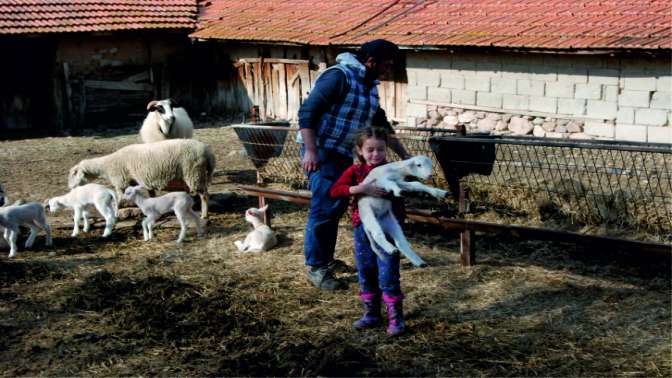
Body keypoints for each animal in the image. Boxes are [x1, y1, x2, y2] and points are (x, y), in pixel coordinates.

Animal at [68, 139, 215, 219]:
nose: (70, 188)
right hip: (196, 174)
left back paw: (204, 214)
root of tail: (208, 152)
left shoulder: (121, 181)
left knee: (204, 195)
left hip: (194, 172)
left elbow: (119, 198)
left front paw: (117, 211)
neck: (107, 165)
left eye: (73, 174)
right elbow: (151, 195)